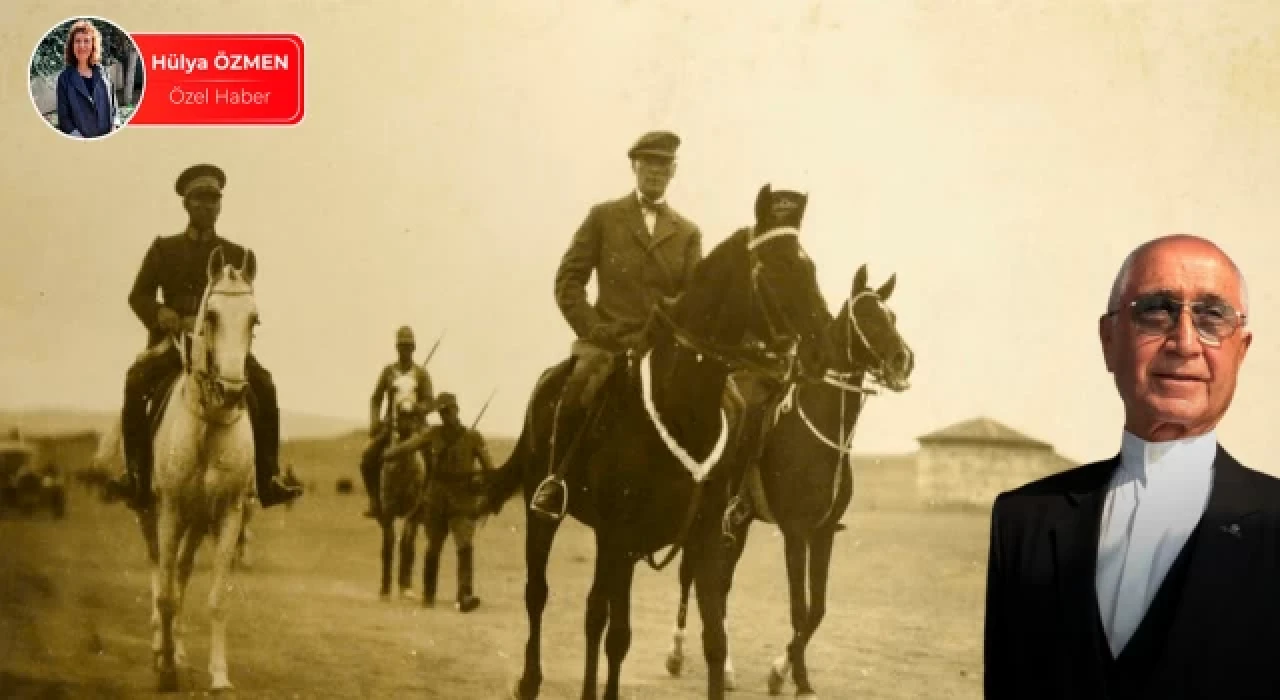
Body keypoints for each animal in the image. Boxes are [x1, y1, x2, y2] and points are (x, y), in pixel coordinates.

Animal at [94, 248, 262, 696]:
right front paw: (166, 669)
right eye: (212, 316)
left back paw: (180, 650)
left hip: (196, 521)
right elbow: (166, 594)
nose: (233, 391)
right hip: (152, 515)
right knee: (161, 575)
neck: (208, 424)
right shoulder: (168, 510)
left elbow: (217, 599)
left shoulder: (227, 515)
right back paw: (161, 649)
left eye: (254, 319)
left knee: (182, 573)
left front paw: (218, 676)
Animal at [483, 191, 834, 700]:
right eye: (779, 266)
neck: (683, 409)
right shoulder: (622, 535)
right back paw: (529, 681)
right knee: (541, 594)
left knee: (593, 610)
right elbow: (618, 636)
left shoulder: (700, 539)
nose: (824, 348)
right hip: (543, 512)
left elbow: (712, 639)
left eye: (809, 266)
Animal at [665, 264, 916, 700]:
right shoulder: (796, 533)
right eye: (867, 316)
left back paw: (725, 667)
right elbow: (799, 609)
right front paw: (795, 679)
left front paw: (782, 672)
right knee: (692, 575)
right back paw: (677, 653)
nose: (903, 360)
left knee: (720, 583)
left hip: (738, 524)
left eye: (894, 316)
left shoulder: (824, 533)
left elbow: (817, 610)